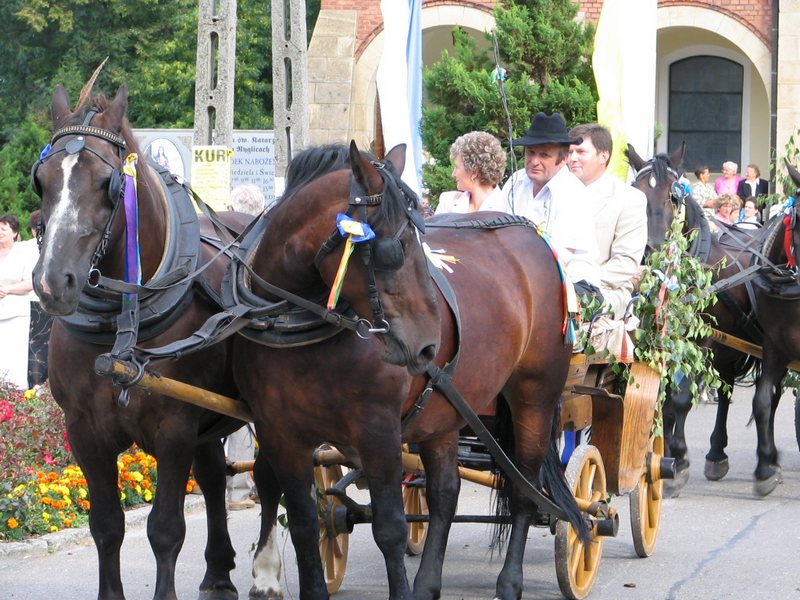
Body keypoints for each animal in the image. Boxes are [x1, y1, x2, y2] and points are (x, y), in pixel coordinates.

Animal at [30, 84, 277, 600]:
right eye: (41, 180)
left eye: (107, 181)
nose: (50, 283)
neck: (121, 322)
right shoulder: (83, 430)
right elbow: (106, 525)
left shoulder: (174, 426)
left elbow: (165, 528)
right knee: (213, 476)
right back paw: (218, 571)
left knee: (272, 476)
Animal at [229, 141, 587, 599]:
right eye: (394, 250)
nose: (428, 345)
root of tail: (534, 234)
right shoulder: (281, 434)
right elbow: (306, 525)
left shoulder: (378, 432)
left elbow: (391, 530)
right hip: (445, 408)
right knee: (445, 493)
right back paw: (428, 583)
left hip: (534, 396)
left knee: (524, 488)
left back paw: (509, 582)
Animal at [627, 143, 767, 495]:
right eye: (636, 193)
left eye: (673, 196)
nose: (651, 248)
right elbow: (661, 396)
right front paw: (660, 453)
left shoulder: (701, 341)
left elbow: (680, 399)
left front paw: (678, 461)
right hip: (729, 348)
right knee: (727, 390)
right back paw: (717, 453)